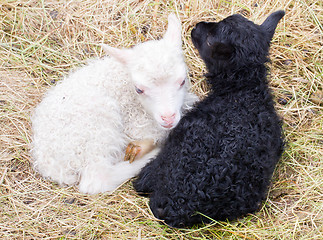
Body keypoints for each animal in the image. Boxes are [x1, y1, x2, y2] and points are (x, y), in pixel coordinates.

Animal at [31, 14, 197, 195]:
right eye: (139, 89)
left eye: (182, 81)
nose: (168, 118)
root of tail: (52, 166)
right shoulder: (140, 125)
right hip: (96, 127)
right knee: (97, 179)